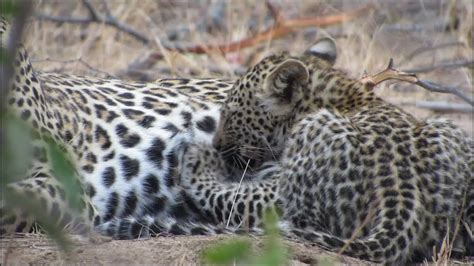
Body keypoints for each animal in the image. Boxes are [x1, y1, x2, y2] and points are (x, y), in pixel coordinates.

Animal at [179, 38, 474, 264]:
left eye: (230, 115)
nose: (215, 144)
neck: (341, 95)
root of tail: (402, 192)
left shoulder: (274, 192)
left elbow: (231, 197)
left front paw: (199, 155)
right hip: (446, 130)